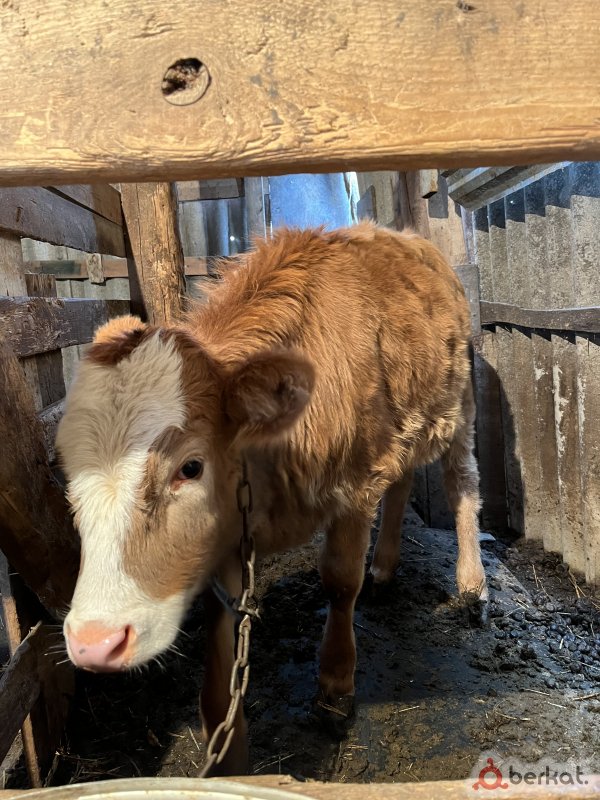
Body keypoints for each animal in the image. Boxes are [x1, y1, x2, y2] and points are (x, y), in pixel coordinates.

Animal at [56, 221, 487, 775]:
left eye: (190, 468)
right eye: (70, 473)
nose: (95, 642)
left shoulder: (357, 482)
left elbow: (340, 581)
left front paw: (335, 686)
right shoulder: (226, 534)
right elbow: (221, 630)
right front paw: (227, 744)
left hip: (459, 403)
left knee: (461, 483)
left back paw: (471, 583)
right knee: (404, 482)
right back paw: (385, 565)